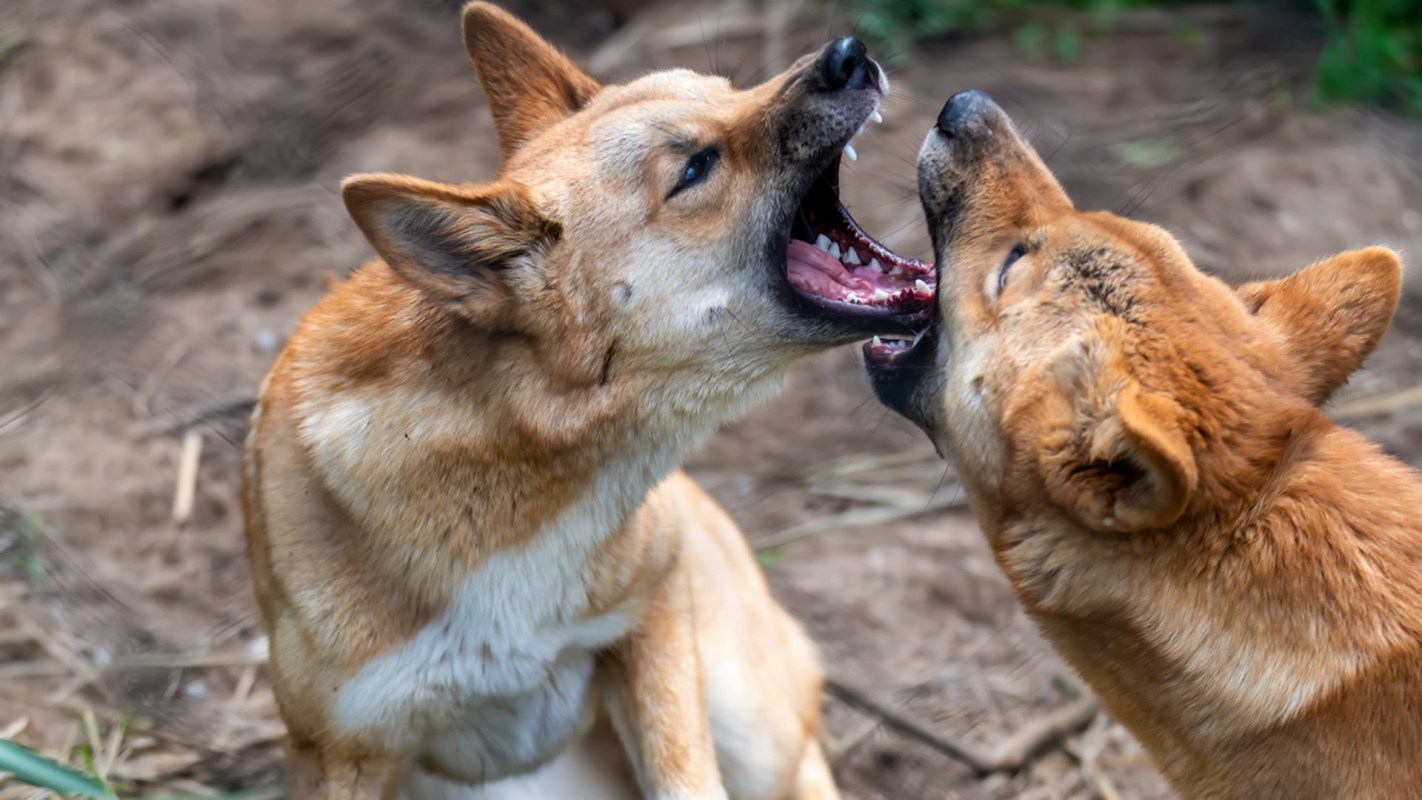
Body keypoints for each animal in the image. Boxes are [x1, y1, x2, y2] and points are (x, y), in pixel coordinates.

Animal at [244, 6, 932, 800]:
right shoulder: (338, 752)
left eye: (727, 88)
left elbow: (687, 781)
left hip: (749, 723)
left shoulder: (654, 622)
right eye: (694, 169)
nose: (850, 53)